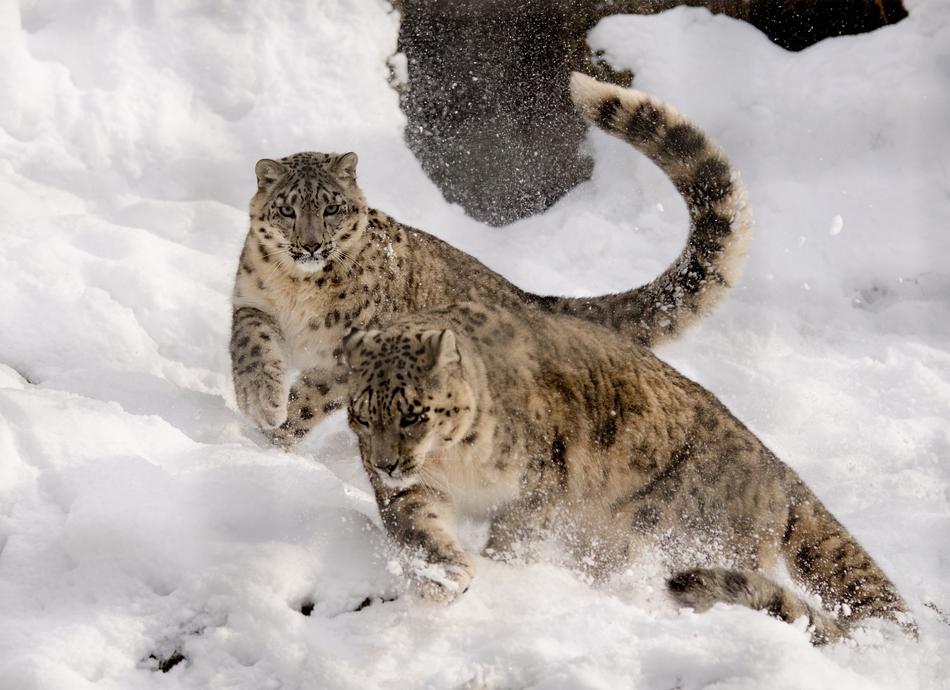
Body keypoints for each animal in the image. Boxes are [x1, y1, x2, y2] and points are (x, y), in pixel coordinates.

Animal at [230, 72, 751, 449]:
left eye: (331, 208)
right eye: (288, 209)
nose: (311, 245)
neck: (299, 291)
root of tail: (529, 297)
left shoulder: (351, 349)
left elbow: (311, 397)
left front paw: (273, 432)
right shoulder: (252, 301)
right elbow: (250, 346)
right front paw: (259, 401)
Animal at [341, 296, 915, 644]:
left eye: (413, 415)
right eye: (362, 415)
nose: (386, 463)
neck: (455, 463)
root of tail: (777, 470)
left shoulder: (538, 485)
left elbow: (516, 537)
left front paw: (504, 571)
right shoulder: (415, 491)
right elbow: (420, 528)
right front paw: (445, 578)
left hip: (673, 534)